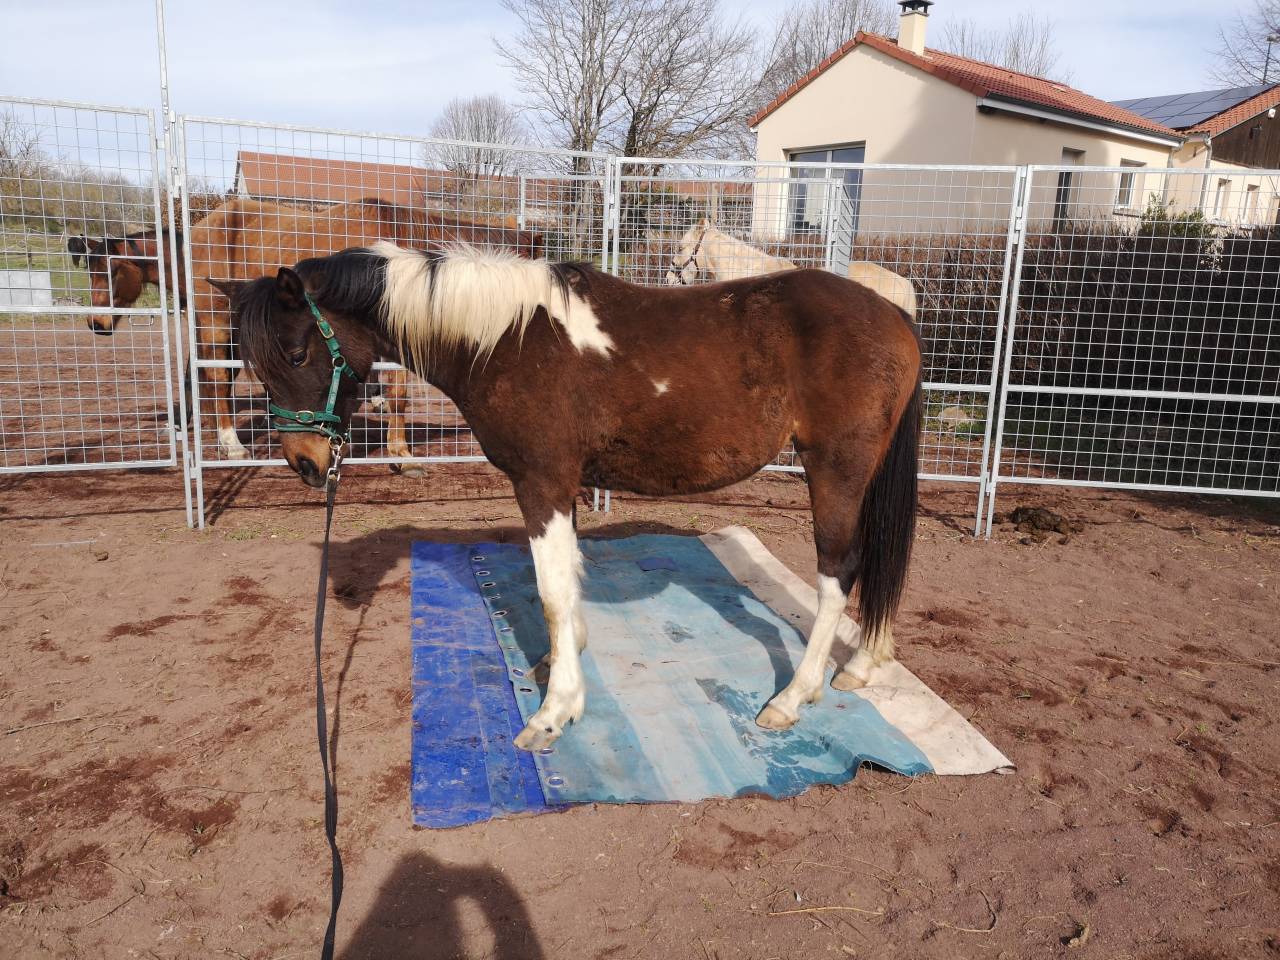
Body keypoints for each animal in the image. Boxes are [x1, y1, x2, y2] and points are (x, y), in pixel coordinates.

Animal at [230, 241, 922, 752]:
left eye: (297, 351)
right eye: (257, 363)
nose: (305, 462)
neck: (506, 338)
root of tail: (894, 315)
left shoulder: (541, 483)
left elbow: (553, 592)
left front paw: (556, 709)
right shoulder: (561, 487)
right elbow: (569, 584)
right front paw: (563, 663)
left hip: (835, 472)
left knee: (838, 573)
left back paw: (793, 697)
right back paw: (863, 665)